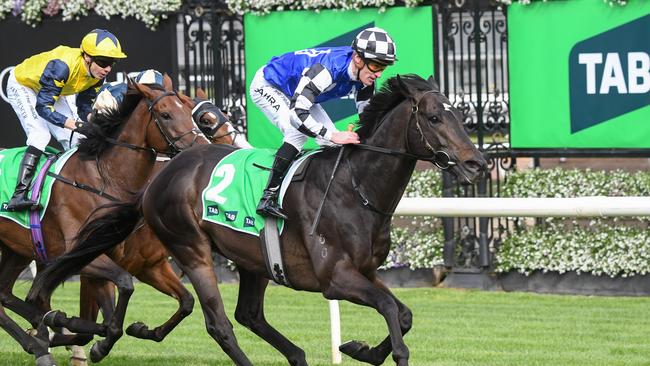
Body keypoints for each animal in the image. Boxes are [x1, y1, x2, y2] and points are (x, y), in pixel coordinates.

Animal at [0, 75, 205, 366]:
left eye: (189, 110)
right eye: (165, 114)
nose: (201, 149)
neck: (104, 178)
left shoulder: (143, 264)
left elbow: (184, 301)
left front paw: (132, 332)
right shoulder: (79, 256)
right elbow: (123, 288)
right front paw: (82, 335)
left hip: (16, 249)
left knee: (4, 294)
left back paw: (38, 342)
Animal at [30, 75, 486, 366]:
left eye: (459, 115)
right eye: (434, 118)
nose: (476, 164)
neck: (356, 189)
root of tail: (160, 176)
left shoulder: (366, 272)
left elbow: (403, 314)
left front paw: (359, 349)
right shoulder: (336, 278)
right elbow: (392, 310)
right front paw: (378, 352)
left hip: (252, 259)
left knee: (248, 314)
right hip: (192, 249)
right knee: (219, 323)